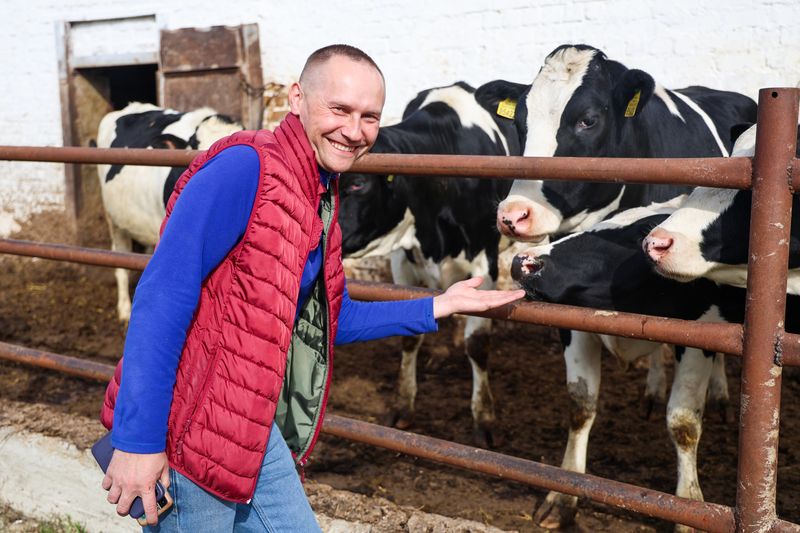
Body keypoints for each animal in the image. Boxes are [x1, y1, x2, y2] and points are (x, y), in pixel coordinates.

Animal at [339, 80, 528, 446]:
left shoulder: (485, 261)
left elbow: (477, 344)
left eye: (357, 183)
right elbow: (409, 336)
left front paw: (483, 420)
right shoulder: (404, 259)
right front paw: (402, 404)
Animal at [508, 200, 782, 531]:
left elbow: (683, 422)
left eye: (639, 237)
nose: (524, 262)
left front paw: (690, 507)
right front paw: (562, 495)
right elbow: (581, 405)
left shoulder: (700, 330)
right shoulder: (575, 325)